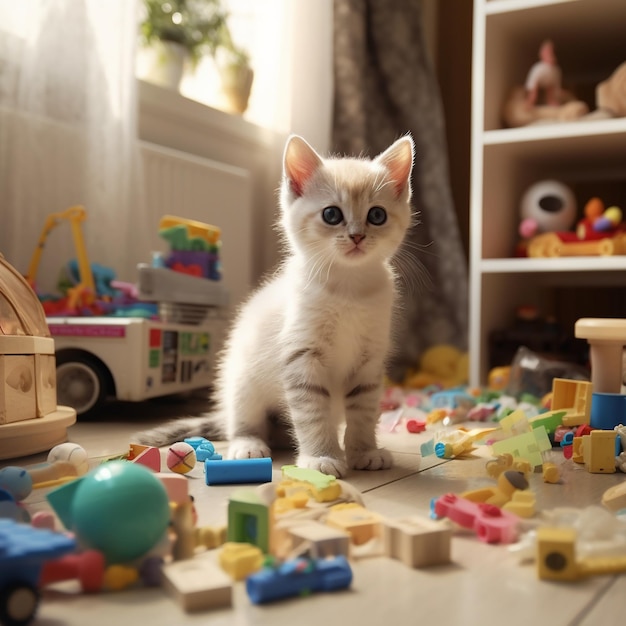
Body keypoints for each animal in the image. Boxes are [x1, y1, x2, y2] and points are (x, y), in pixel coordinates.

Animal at [135, 134, 414, 476]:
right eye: (331, 215)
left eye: (377, 216)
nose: (357, 236)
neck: (348, 288)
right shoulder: (301, 356)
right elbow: (312, 414)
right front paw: (321, 456)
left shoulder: (369, 361)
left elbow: (363, 411)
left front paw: (364, 450)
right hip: (242, 381)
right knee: (243, 423)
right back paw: (249, 444)